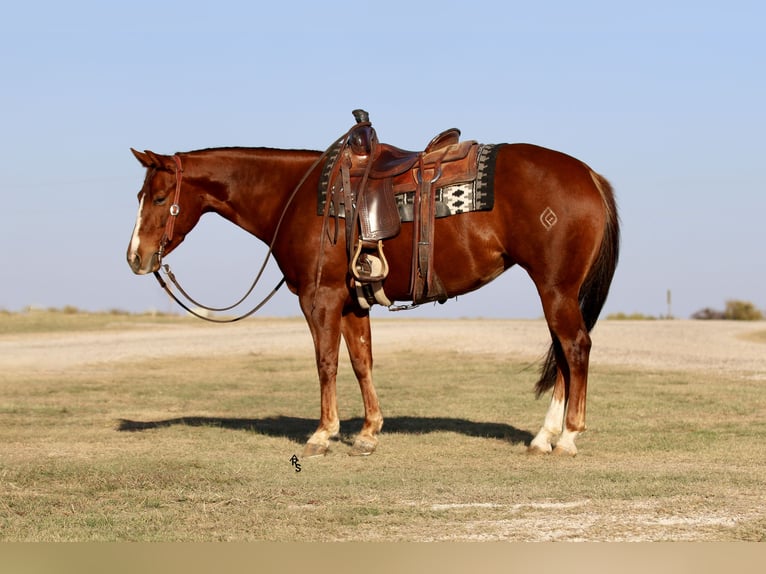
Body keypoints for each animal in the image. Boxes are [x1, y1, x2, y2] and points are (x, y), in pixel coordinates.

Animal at [126, 121, 619, 458]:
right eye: (139, 196)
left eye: (158, 197)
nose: (135, 257)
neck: (295, 196)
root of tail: (589, 175)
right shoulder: (352, 302)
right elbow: (361, 361)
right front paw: (367, 432)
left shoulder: (319, 298)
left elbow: (326, 362)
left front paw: (323, 434)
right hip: (558, 291)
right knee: (564, 354)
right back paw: (544, 436)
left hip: (555, 288)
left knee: (575, 348)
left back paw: (568, 436)